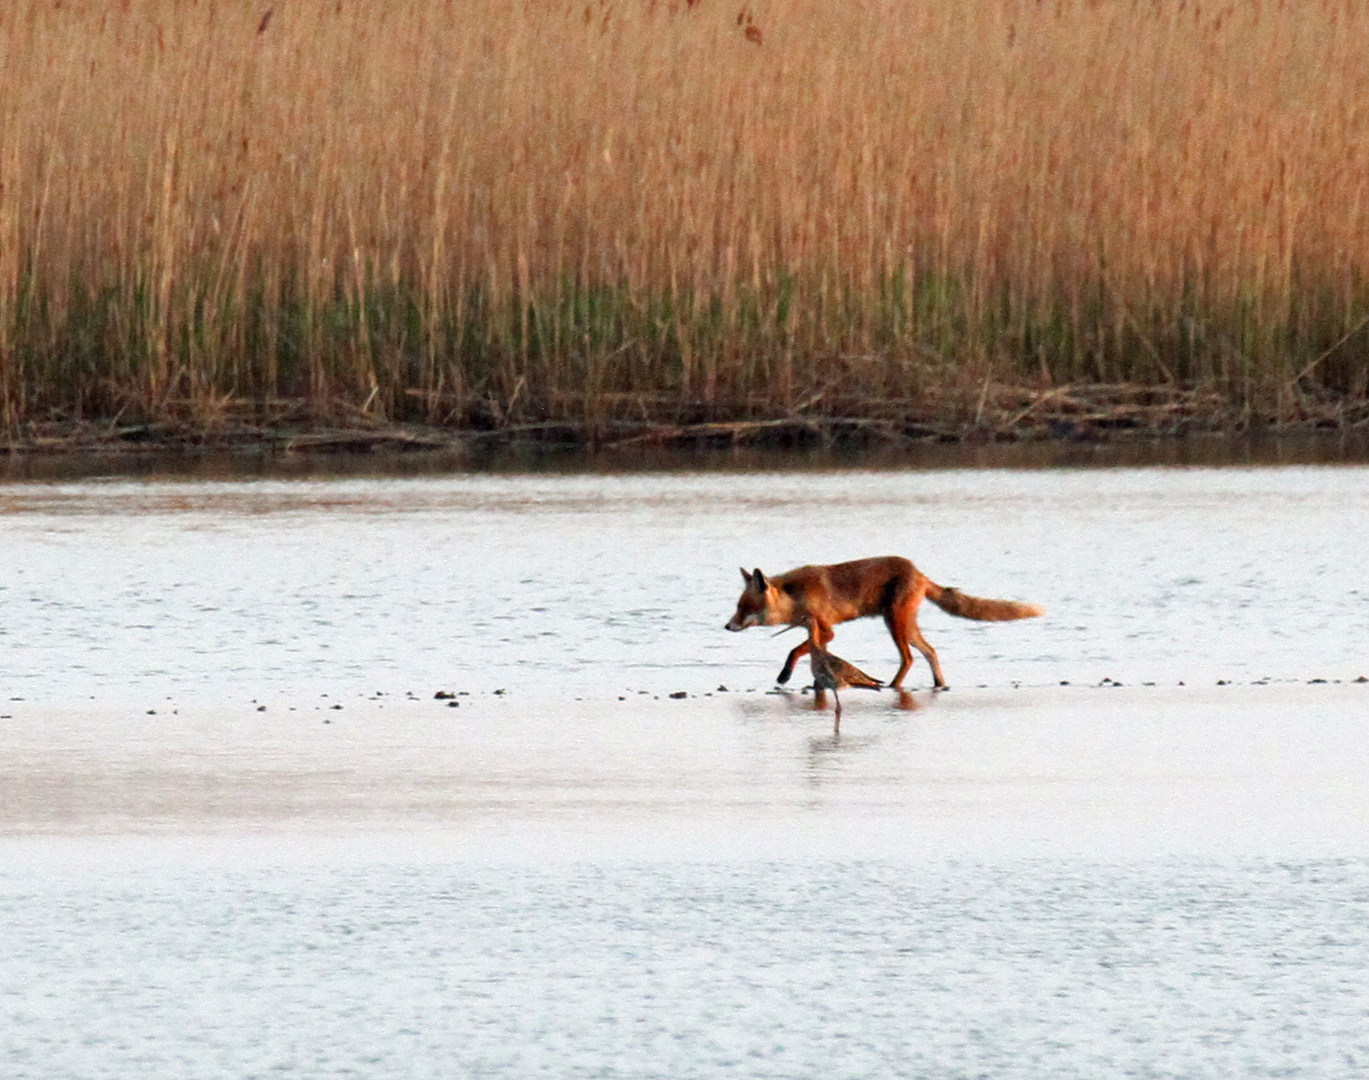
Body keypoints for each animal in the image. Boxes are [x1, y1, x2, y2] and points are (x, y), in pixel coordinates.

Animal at [728, 555, 1034, 689]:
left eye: (745, 608)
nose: (727, 627)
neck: (796, 598)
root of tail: (919, 573)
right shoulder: (817, 632)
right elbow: (818, 658)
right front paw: (819, 683)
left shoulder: (826, 630)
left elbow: (795, 651)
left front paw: (785, 675)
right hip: (906, 628)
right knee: (930, 652)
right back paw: (938, 683)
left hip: (895, 624)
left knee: (909, 658)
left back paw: (892, 686)